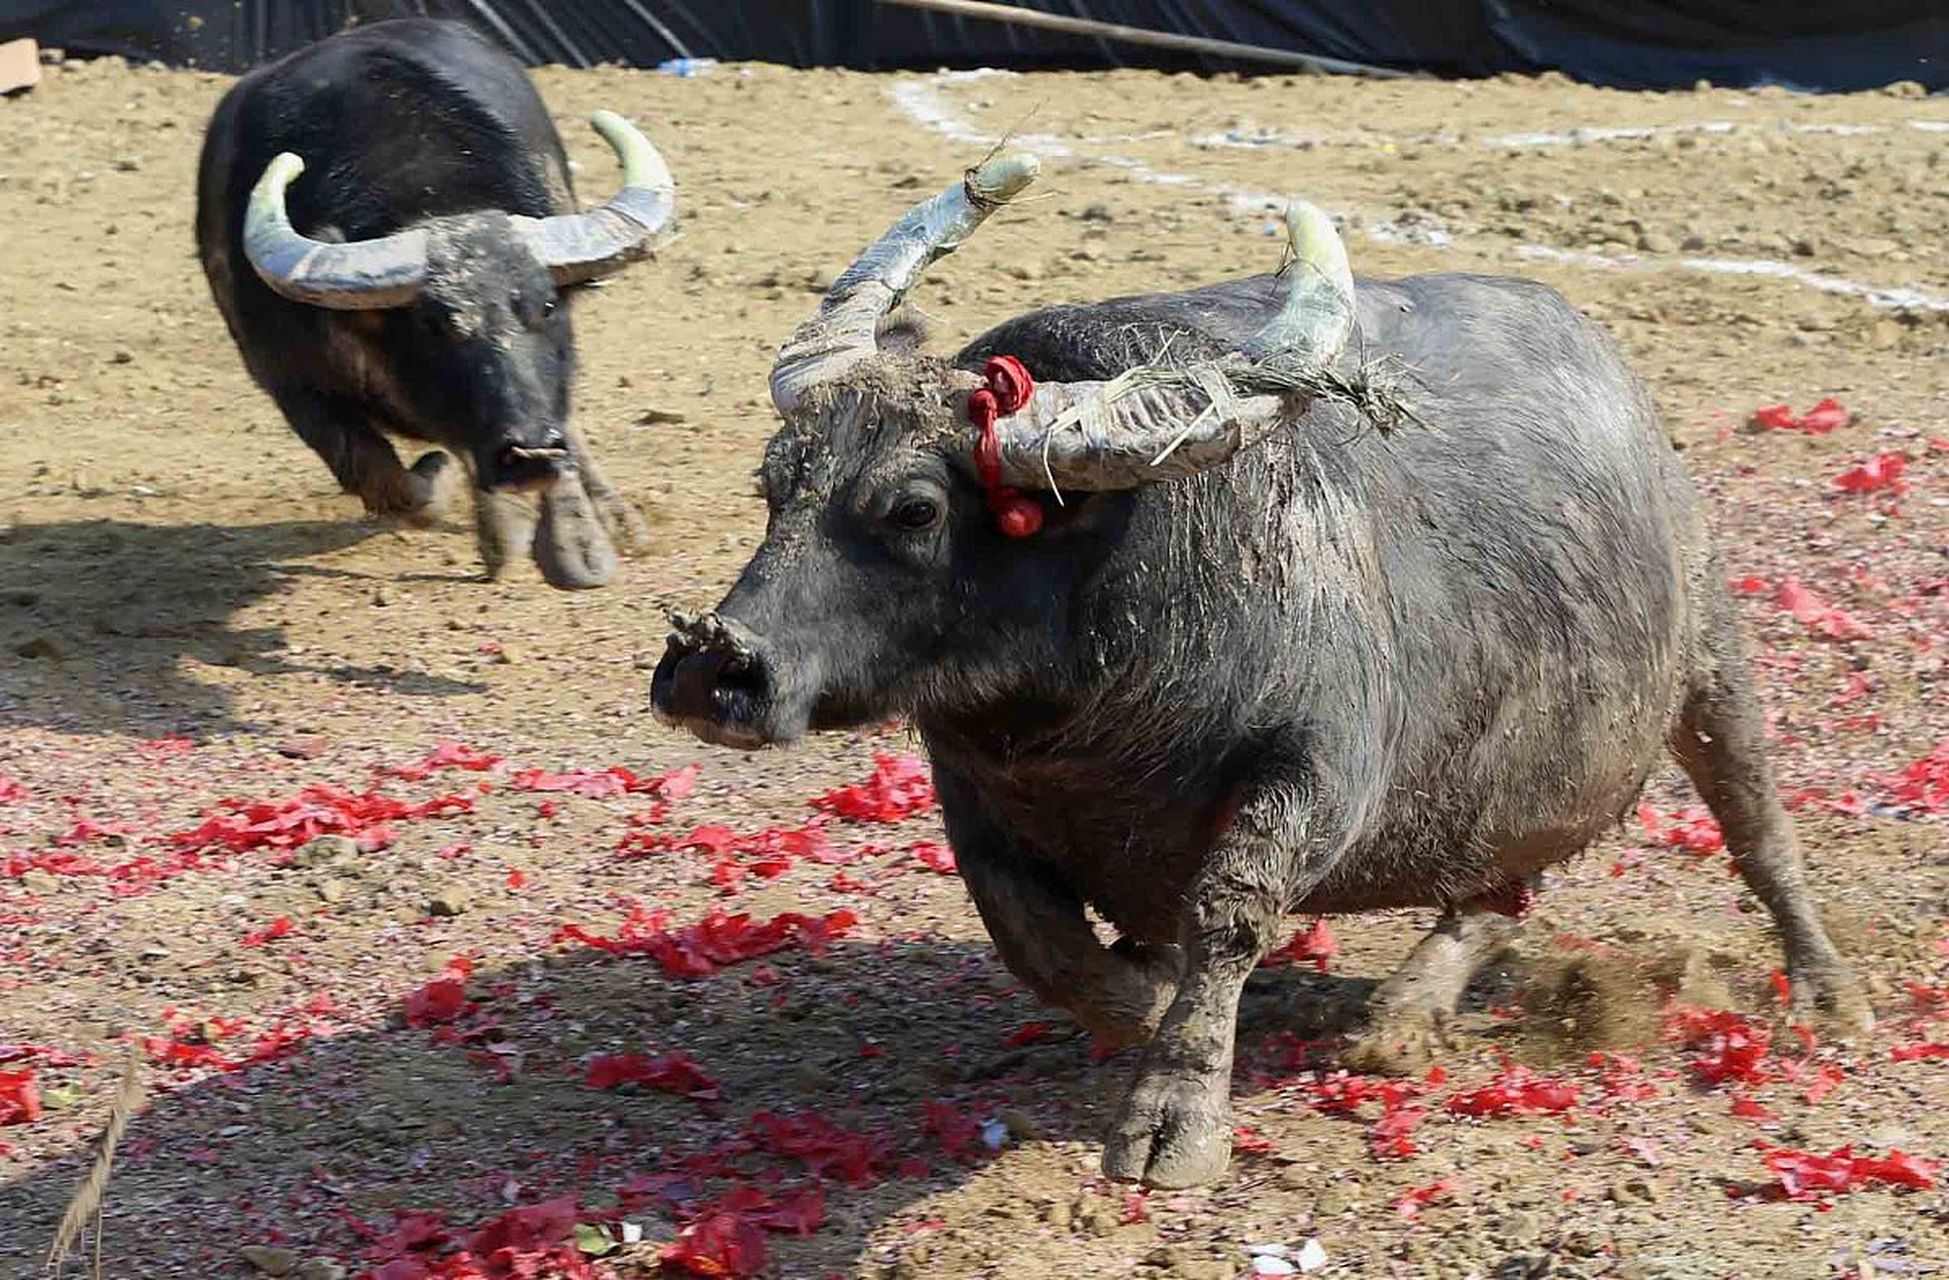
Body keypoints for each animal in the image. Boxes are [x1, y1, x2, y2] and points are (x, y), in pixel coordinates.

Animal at [193, 17, 674, 588]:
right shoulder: (287, 379)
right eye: (435, 324)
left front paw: (579, 550)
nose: (532, 452)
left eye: (547, 307)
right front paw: (452, 490)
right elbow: (381, 476)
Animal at [647, 154, 1863, 1184]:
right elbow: (1031, 934)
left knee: (1755, 822)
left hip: (1710, 656)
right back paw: (1401, 1015)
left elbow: (1227, 913)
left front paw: (1171, 1116)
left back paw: (1824, 992)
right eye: (775, 480)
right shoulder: (971, 788)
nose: (714, 667)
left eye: (911, 509)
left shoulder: (1315, 771)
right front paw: (1134, 994)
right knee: (1496, 887)